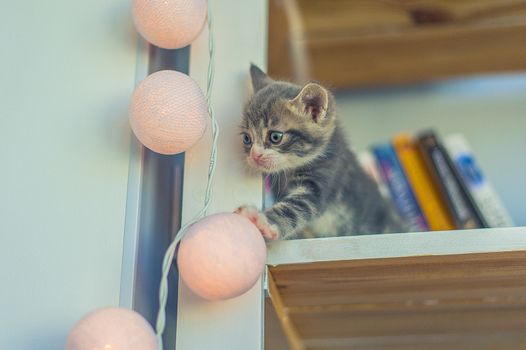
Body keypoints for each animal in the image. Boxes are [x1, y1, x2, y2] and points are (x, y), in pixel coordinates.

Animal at [235, 65, 404, 241]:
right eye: (246, 139)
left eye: (275, 137)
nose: (255, 155)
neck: (290, 169)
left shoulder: (322, 181)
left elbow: (294, 209)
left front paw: (263, 220)